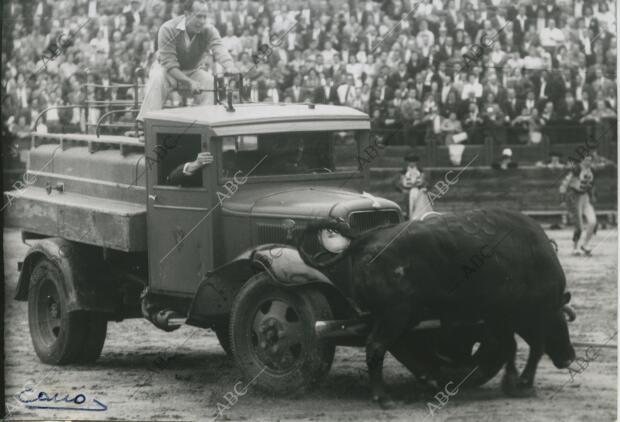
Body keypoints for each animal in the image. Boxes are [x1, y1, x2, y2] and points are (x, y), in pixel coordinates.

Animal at [296, 209, 576, 408]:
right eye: (560, 321)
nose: (569, 357)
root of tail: (365, 238)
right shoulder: (517, 315)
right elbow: (532, 346)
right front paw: (523, 384)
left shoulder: (496, 319)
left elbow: (510, 346)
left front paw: (510, 382)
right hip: (396, 314)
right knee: (376, 346)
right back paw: (384, 398)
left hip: (402, 315)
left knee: (394, 345)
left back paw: (429, 380)